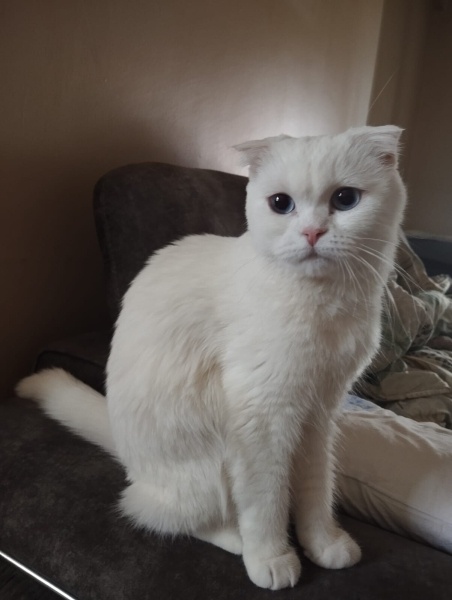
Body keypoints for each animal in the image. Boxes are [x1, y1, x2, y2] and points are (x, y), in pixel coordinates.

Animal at [16, 126, 406, 592]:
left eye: (345, 199)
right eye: (281, 204)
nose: (312, 233)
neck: (326, 304)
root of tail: (127, 455)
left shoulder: (320, 413)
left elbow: (315, 489)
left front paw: (323, 544)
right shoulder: (264, 418)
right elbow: (268, 501)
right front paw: (273, 558)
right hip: (207, 463)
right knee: (161, 512)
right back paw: (235, 540)